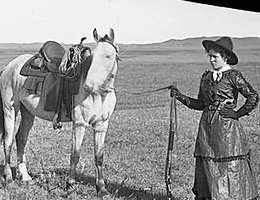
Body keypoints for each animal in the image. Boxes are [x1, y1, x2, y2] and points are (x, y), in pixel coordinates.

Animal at [0, 28, 118, 197]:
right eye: (92, 57)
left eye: (108, 56)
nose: (88, 86)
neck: (99, 94)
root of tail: (9, 67)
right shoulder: (80, 124)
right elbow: (75, 155)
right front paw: (70, 185)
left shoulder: (101, 125)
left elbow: (99, 157)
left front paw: (101, 189)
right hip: (10, 109)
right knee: (8, 141)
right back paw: (9, 179)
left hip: (27, 111)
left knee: (21, 138)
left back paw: (26, 177)